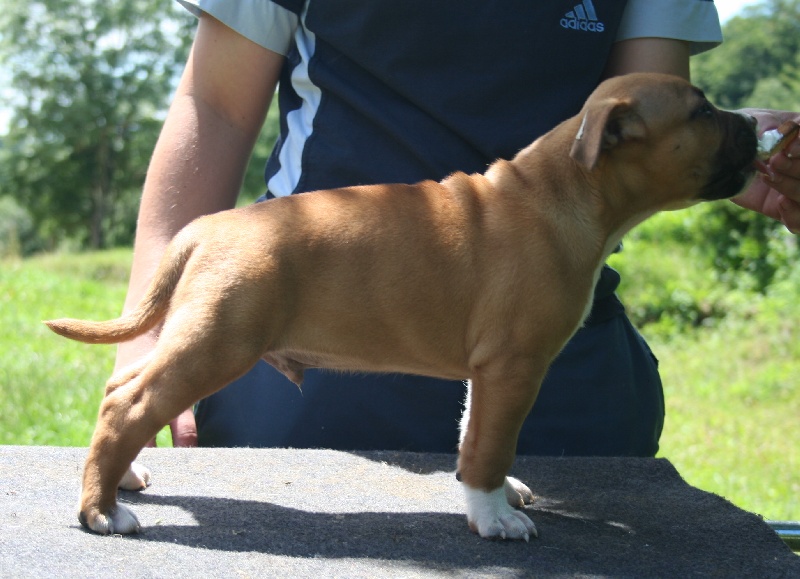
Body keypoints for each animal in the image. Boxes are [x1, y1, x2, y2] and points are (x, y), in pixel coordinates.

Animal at [46, 73, 758, 541]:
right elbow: (494, 442)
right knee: (129, 402)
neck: (561, 188)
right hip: (218, 339)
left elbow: (474, 432)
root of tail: (207, 229)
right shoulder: (513, 366)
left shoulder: (488, 371)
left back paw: (123, 480)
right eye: (701, 113)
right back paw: (101, 511)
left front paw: (488, 495)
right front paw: (495, 515)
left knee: (123, 388)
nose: (756, 123)